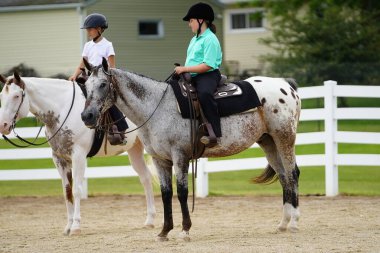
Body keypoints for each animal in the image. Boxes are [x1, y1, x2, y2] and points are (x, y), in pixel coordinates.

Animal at [0, 72, 156, 235]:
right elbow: (67, 192)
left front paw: (75, 226)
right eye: (1, 96)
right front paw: (68, 227)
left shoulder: (79, 156)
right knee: (146, 178)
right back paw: (149, 221)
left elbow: (76, 190)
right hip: (134, 149)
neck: (62, 109)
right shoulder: (59, 158)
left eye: (17, 96)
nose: (3, 125)